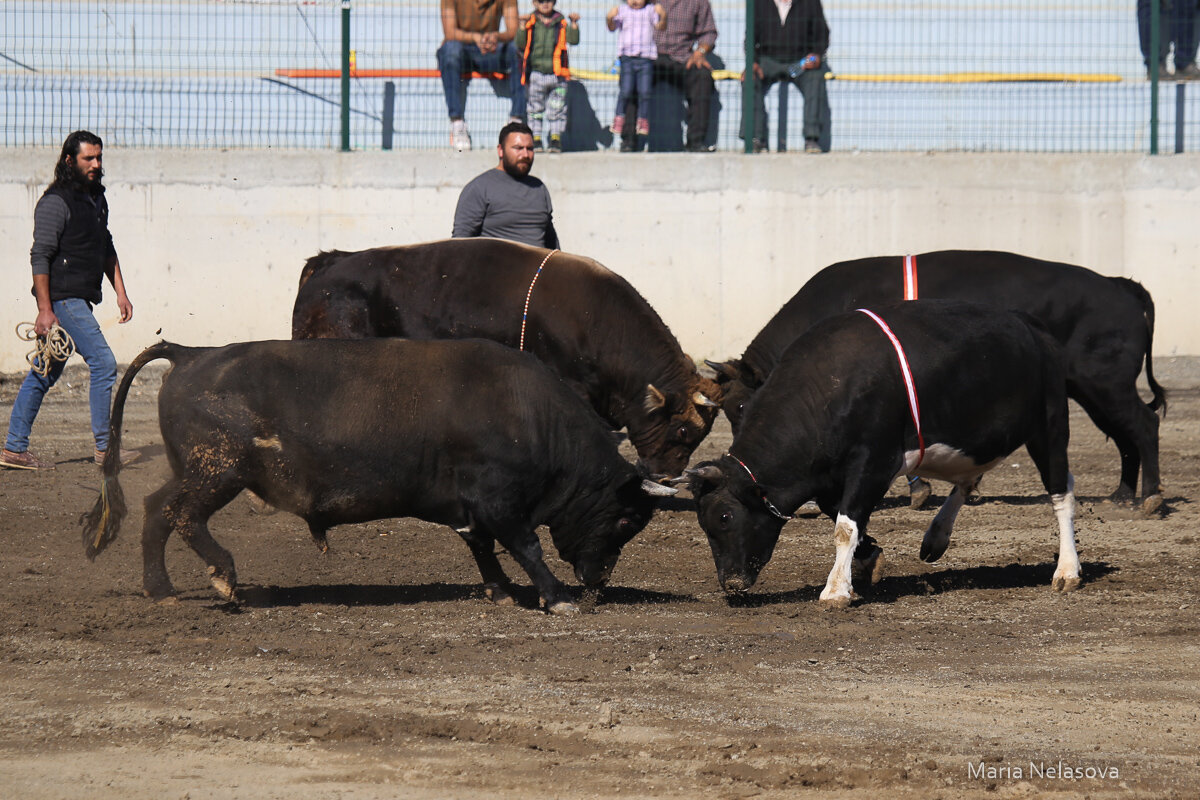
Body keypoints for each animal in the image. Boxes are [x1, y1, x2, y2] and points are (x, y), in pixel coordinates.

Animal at [79, 338, 681, 614]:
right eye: (626, 520)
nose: (598, 584)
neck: (530, 416)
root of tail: (190, 353)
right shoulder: (499, 500)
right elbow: (525, 545)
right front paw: (555, 597)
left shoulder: (471, 507)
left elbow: (484, 548)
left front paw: (501, 591)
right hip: (217, 471)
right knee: (181, 514)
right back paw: (224, 576)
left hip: (198, 470)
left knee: (156, 510)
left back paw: (160, 589)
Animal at [705, 251, 1166, 513]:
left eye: (744, 407)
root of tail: (1120, 286)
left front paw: (919, 490)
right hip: (1092, 390)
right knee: (1125, 435)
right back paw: (1123, 494)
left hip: (1106, 384)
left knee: (1143, 425)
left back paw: (1150, 497)